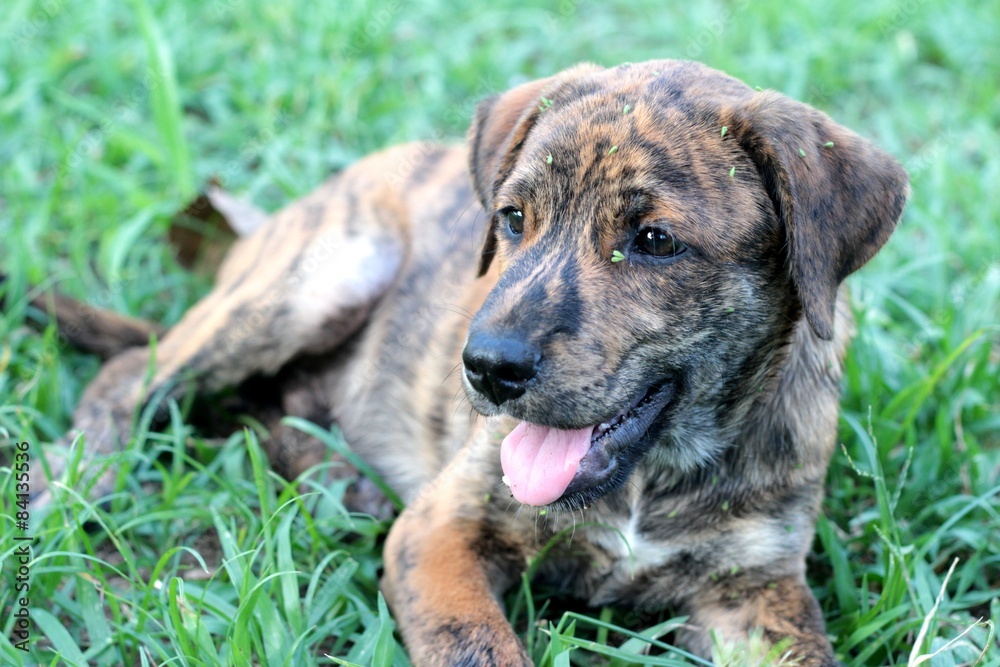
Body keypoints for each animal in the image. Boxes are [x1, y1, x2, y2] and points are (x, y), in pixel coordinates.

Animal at [58, 60, 912, 664]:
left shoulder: (756, 589)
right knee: (131, 372)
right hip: (321, 278)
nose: (488, 368)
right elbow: (478, 649)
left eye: (655, 240)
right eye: (512, 218)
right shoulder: (439, 531)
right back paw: (72, 480)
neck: (652, 475)